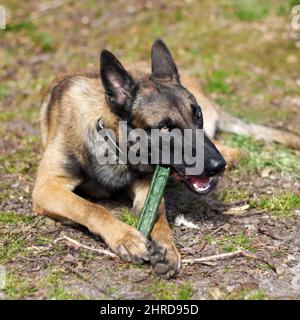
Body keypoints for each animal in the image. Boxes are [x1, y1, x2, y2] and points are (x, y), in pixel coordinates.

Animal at [32, 38, 300, 278]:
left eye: (197, 115)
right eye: (164, 128)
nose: (217, 167)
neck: (112, 139)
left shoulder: (146, 188)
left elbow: (159, 217)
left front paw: (166, 247)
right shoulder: (47, 189)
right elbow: (91, 208)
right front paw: (125, 236)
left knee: (235, 151)